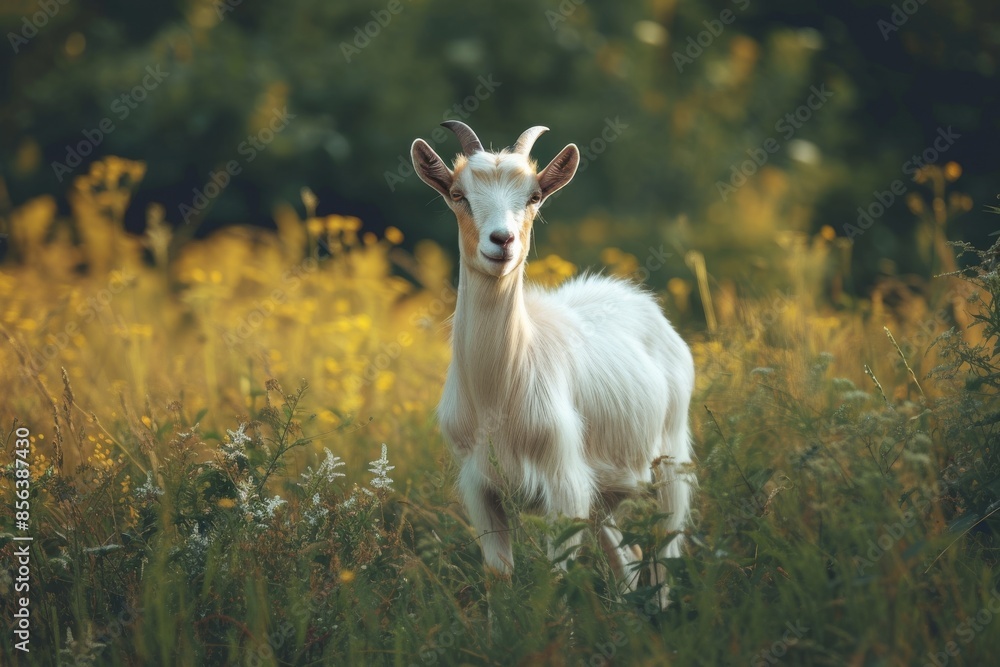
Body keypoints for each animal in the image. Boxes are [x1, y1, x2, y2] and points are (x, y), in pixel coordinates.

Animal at [410, 121, 695, 608]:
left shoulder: (565, 487)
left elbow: (555, 581)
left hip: (669, 460)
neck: (498, 394)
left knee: (665, 553)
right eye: (458, 193)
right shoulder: (481, 488)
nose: (502, 241)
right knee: (630, 558)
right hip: (605, 490)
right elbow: (498, 578)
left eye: (534, 196)